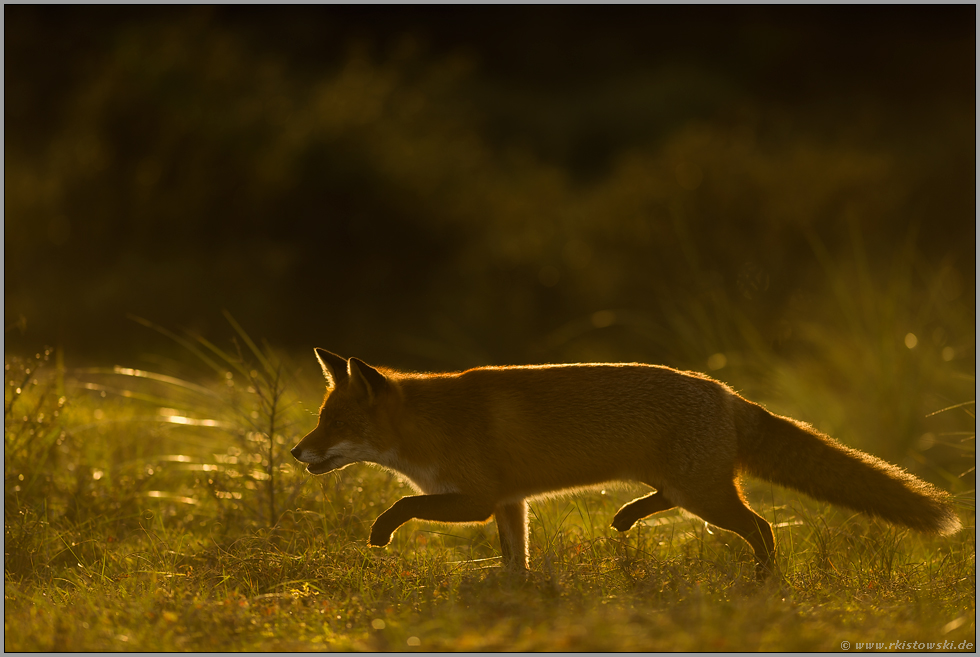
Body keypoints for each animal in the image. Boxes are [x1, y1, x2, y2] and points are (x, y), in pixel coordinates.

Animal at [292, 348, 964, 576]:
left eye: (335, 425)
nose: (297, 452)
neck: (432, 425)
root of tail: (727, 392)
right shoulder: (510, 503)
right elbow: (516, 560)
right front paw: (516, 596)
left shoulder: (478, 498)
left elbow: (402, 500)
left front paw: (380, 533)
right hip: (690, 486)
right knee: (683, 502)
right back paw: (627, 517)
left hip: (706, 497)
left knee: (763, 527)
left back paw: (764, 581)